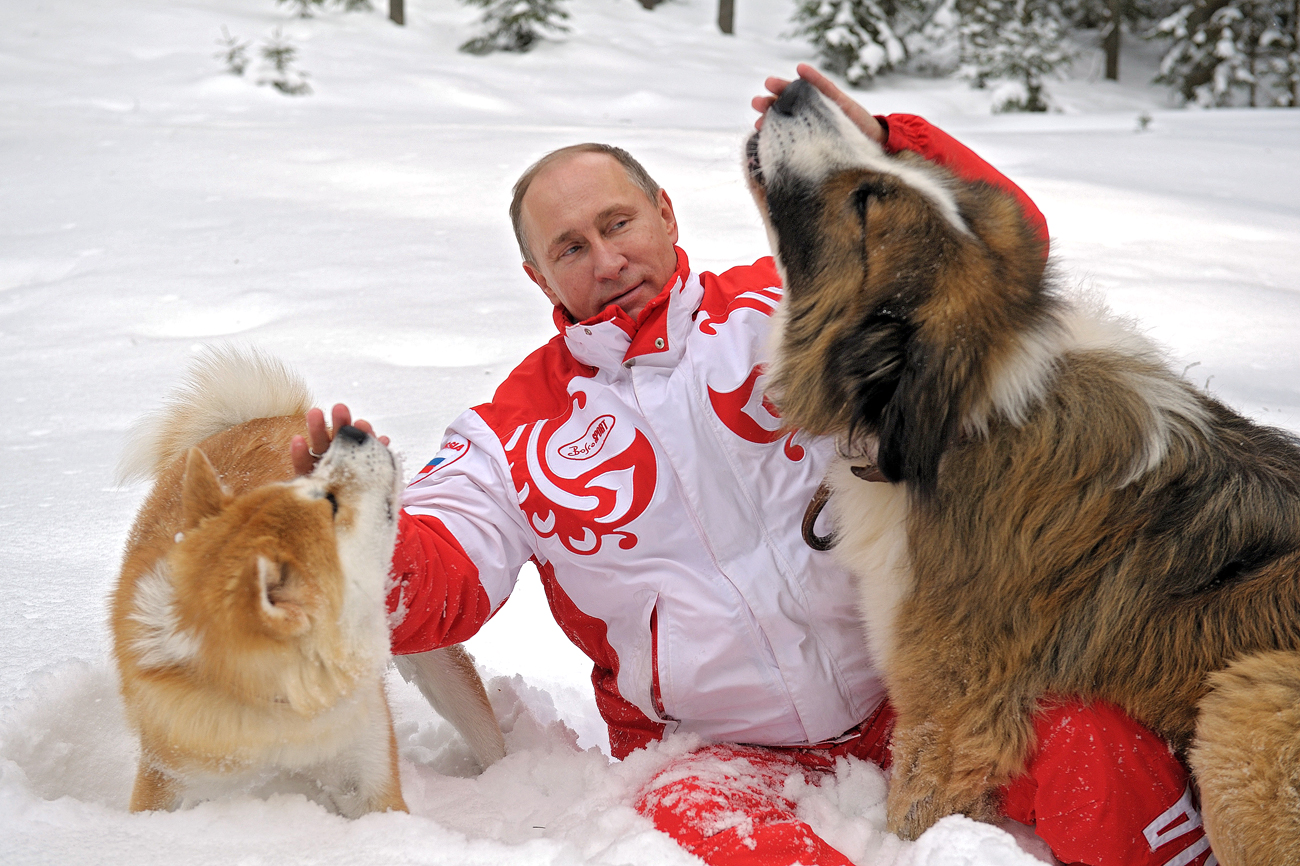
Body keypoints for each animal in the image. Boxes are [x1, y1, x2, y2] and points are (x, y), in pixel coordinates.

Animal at [111, 345, 501, 816]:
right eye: (326, 500)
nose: (350, 433)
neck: (284, 706)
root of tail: (259, 419)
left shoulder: (369, 774)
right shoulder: (166, 778)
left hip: (437, 663)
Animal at [748, 80, 1300, 863]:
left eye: (867, 199)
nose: (798, 87)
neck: (962, 417)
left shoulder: (948, 706)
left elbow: (918, 803)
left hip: (1248, 702)